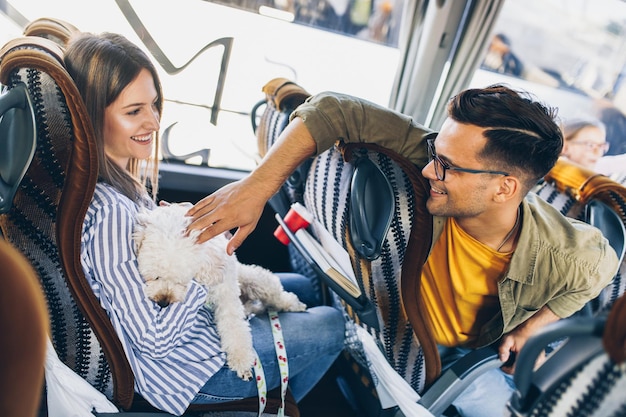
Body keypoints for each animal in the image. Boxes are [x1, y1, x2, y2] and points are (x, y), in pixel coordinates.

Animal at [133, 202, 304, 380]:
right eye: (155, 277)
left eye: (181, 281)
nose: (163, 302)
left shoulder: (226, 292)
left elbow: (233, 326)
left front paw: (241, 360)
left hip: (255, 280)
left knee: (273, 291)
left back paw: (292, 304)